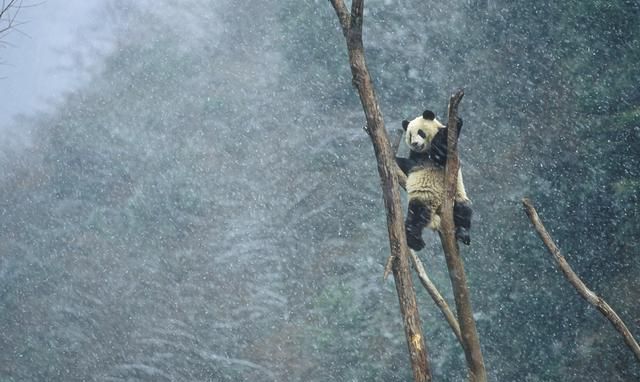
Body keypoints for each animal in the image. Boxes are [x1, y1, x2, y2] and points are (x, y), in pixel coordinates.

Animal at [396, 109, 476, 251]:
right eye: (410, 135)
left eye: (420, 132)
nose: (415, 144)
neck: (425, 150)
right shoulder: (417, 157)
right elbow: (411, 164)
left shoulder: (449, 157)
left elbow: (440, 152)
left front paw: (455, 123)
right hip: (425, 198)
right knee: (416, 215)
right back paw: (415, 241)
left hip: (457, 196)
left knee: (464, 211)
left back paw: (463, 233)